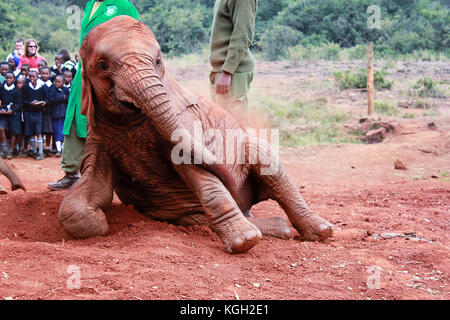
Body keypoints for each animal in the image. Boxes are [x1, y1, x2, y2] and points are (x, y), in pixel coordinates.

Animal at [58, 16, 330, 254]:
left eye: (158, 61)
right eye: (102, 65)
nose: (234, 182)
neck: (130, 119)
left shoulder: (183, 121)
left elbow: (198, 173)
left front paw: (245, 243)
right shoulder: (99, 135)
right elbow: (88, 193)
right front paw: (100, 221)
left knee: (265, 160)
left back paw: (319, 231)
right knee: (197, 219)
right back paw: (276, 227)